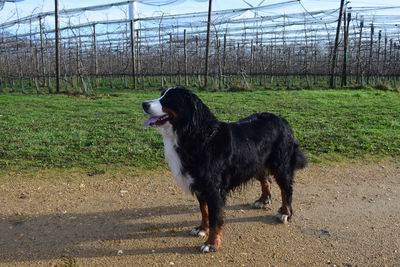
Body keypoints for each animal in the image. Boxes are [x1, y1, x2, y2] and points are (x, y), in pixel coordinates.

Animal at [142, 87, 308, 253]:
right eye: (162, 95)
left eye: (169, 98)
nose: (144, 104)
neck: (197, 136)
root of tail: (282, 120)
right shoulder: (201, 185)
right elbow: (204, 211)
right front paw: (202, 229)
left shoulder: (213, 188)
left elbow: (215, 218)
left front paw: (211, 244)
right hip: (256, 163)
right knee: (266, 181)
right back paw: (263, 200)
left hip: (281, 165)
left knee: (286, 189)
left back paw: (286, 213)